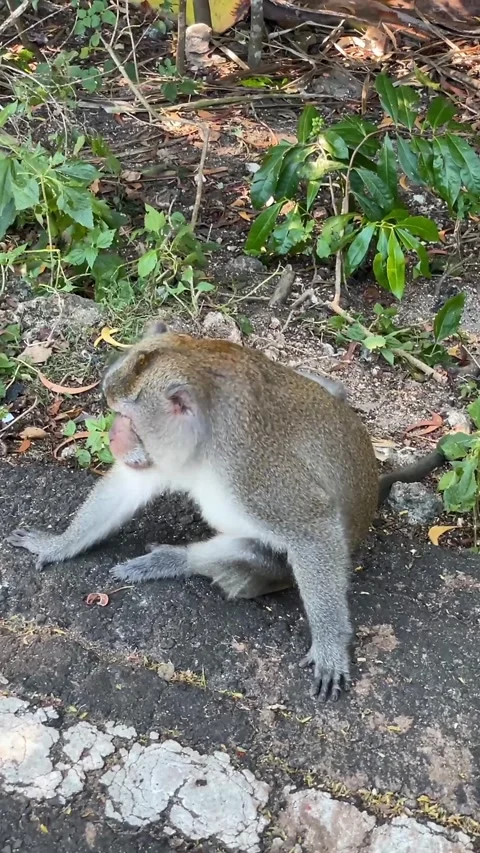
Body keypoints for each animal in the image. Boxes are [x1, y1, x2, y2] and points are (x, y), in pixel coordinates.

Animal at [7, 322, 447, 702]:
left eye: (128, 418)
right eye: (116, 412)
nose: (114, 437)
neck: (207, 437)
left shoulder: (250, 470)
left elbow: (313, 526)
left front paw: (330, 645)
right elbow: (128, 487)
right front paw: (58, 545)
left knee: (254, 556)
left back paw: (175, 560)